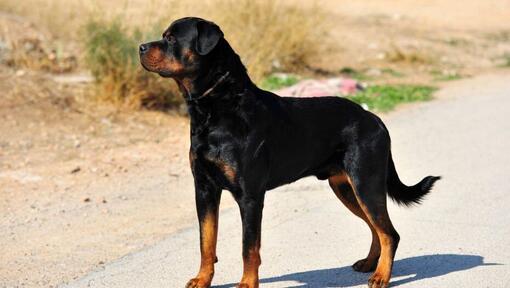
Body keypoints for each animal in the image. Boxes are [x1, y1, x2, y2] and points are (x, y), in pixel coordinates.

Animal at [139, 17, 438, 288]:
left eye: (171, 39)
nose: (141, 47)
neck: (215, 107)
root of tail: (375, 119)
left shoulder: (249, 196)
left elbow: (249, 247)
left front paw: (247, 284)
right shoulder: (204, 189)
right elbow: (206, 241)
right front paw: (202, 279)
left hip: (366, 183)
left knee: (389, 233)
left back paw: (381, 276)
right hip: (345, 187)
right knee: (376, 228)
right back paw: (369, 264)